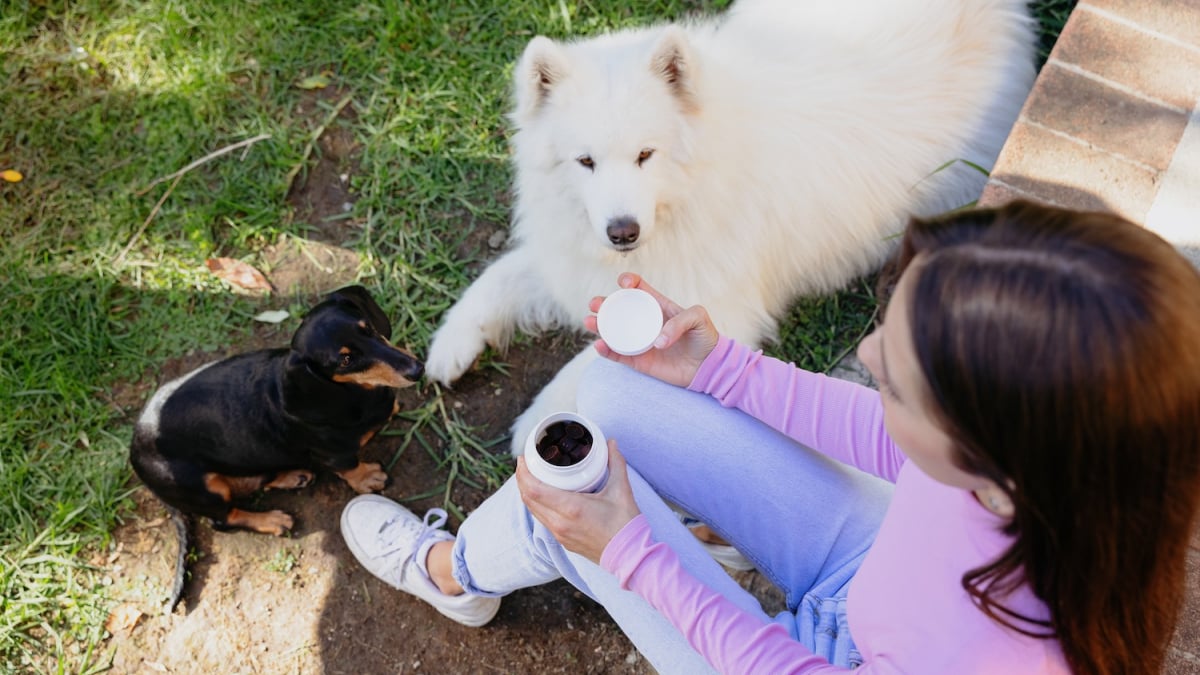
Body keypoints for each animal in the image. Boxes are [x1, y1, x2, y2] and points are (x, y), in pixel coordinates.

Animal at [427, 0, 1036, 456]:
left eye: (645, 154)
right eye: (585, 162)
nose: (622, 232)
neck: (688, 188)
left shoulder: (710, 305)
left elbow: (593, 364)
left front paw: (540, 418)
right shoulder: (572, 253)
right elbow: (500, 277)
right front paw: (450, 343)